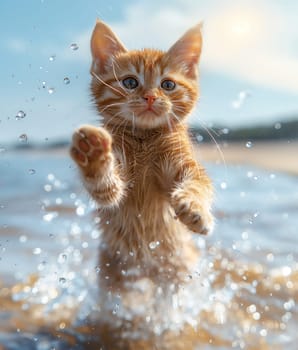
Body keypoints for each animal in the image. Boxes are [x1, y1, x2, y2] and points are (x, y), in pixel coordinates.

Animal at [71, 19, 213, 336]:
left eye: (167, 85)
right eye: (130, 83)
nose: (149, 96)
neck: (144, 140)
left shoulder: (185, 165)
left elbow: (198, 185)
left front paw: (194, 208)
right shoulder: (116, 180)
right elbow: (106, 187)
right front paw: (93, 155)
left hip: (175, 272)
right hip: (114, 274)